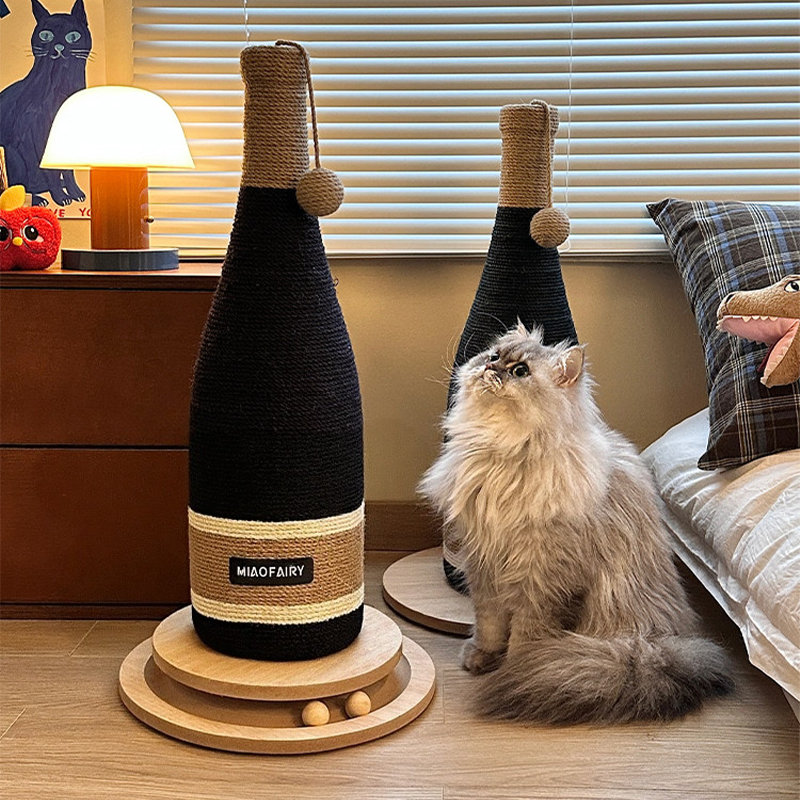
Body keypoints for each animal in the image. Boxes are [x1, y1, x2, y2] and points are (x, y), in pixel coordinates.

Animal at [0, 0, 91, 206]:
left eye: (72, 36)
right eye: (46, 35)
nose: (58, 47)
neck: (61, 86)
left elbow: (68, 170)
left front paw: (75, 193)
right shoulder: (39, 132)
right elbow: (51, 170)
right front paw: (61, 197)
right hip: (11, 152)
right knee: (20, 188)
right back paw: (39, 199)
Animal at [420, 324, 734, 724]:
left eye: (520, 371)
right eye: (493, 355)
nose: (492, 367)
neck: (502, 458)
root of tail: (655, 650)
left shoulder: (544, 580)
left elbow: (525, 637)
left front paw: (519, 672)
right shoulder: (485, 567)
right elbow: (489, 624)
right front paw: (483, 657)